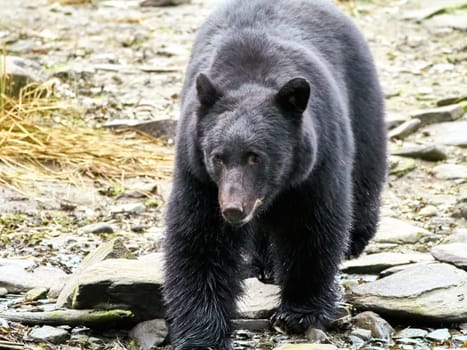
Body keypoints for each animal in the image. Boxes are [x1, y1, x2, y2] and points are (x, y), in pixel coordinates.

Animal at [164, 0, 388, 348]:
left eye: (256, 157)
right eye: (218, 157)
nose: (233, 209)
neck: (252, 77)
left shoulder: (316, 164)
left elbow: (311, 228)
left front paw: (299, 312)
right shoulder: (198, 173)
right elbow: (199, 238)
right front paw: (200, 333)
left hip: (361, 96)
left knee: (366, 165)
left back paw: (356, 238)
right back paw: (264, 264)